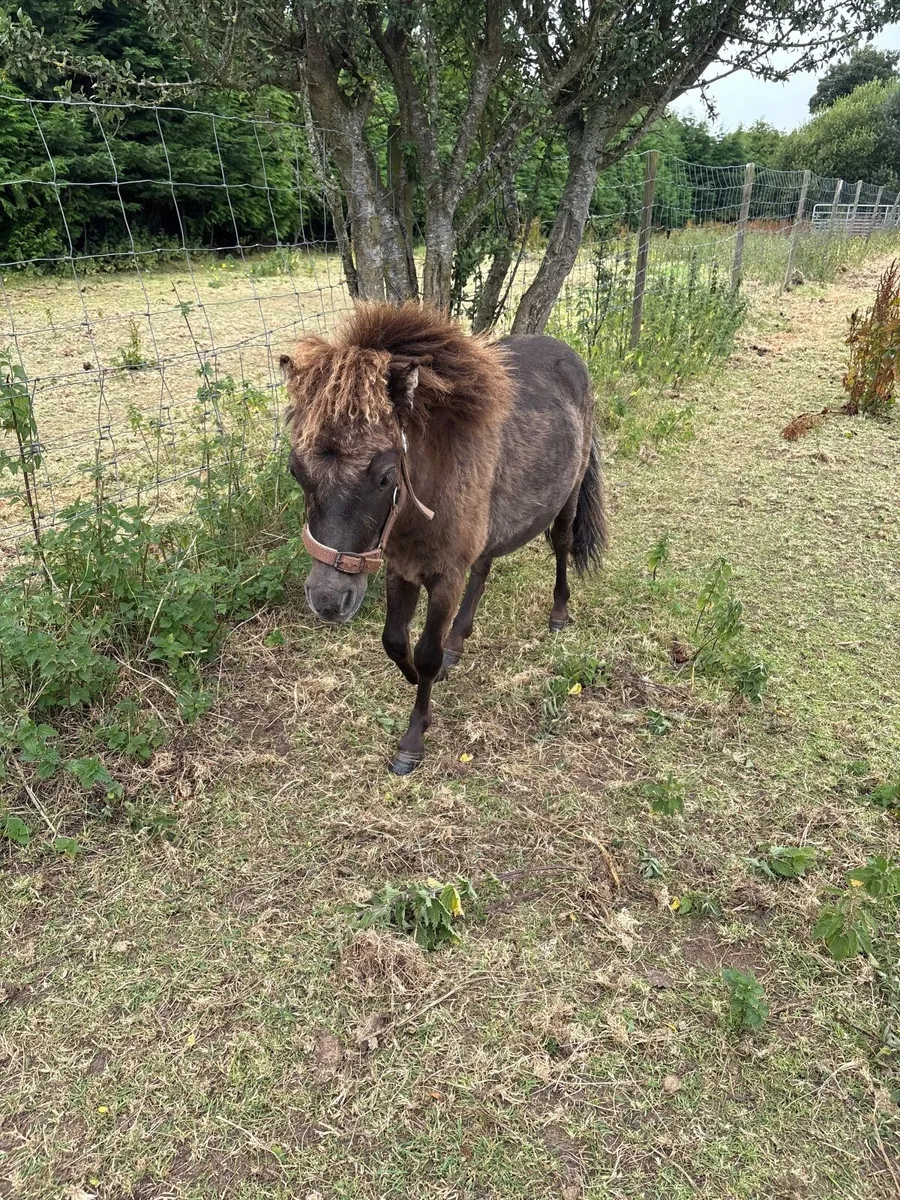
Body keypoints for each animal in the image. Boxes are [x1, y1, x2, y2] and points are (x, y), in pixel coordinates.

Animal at [280, 302, 608, 774]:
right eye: (295, 470)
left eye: (385, 475)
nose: (327, 599)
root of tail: (569, 355)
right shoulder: (400, 569)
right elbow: (396, 642)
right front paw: (418, 680)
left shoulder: (444, 577)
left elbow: (426, 653)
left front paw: (415, 736)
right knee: (485, 565)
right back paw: (459, 640)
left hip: (568, 497)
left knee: (561, 546)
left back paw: (559, 614)